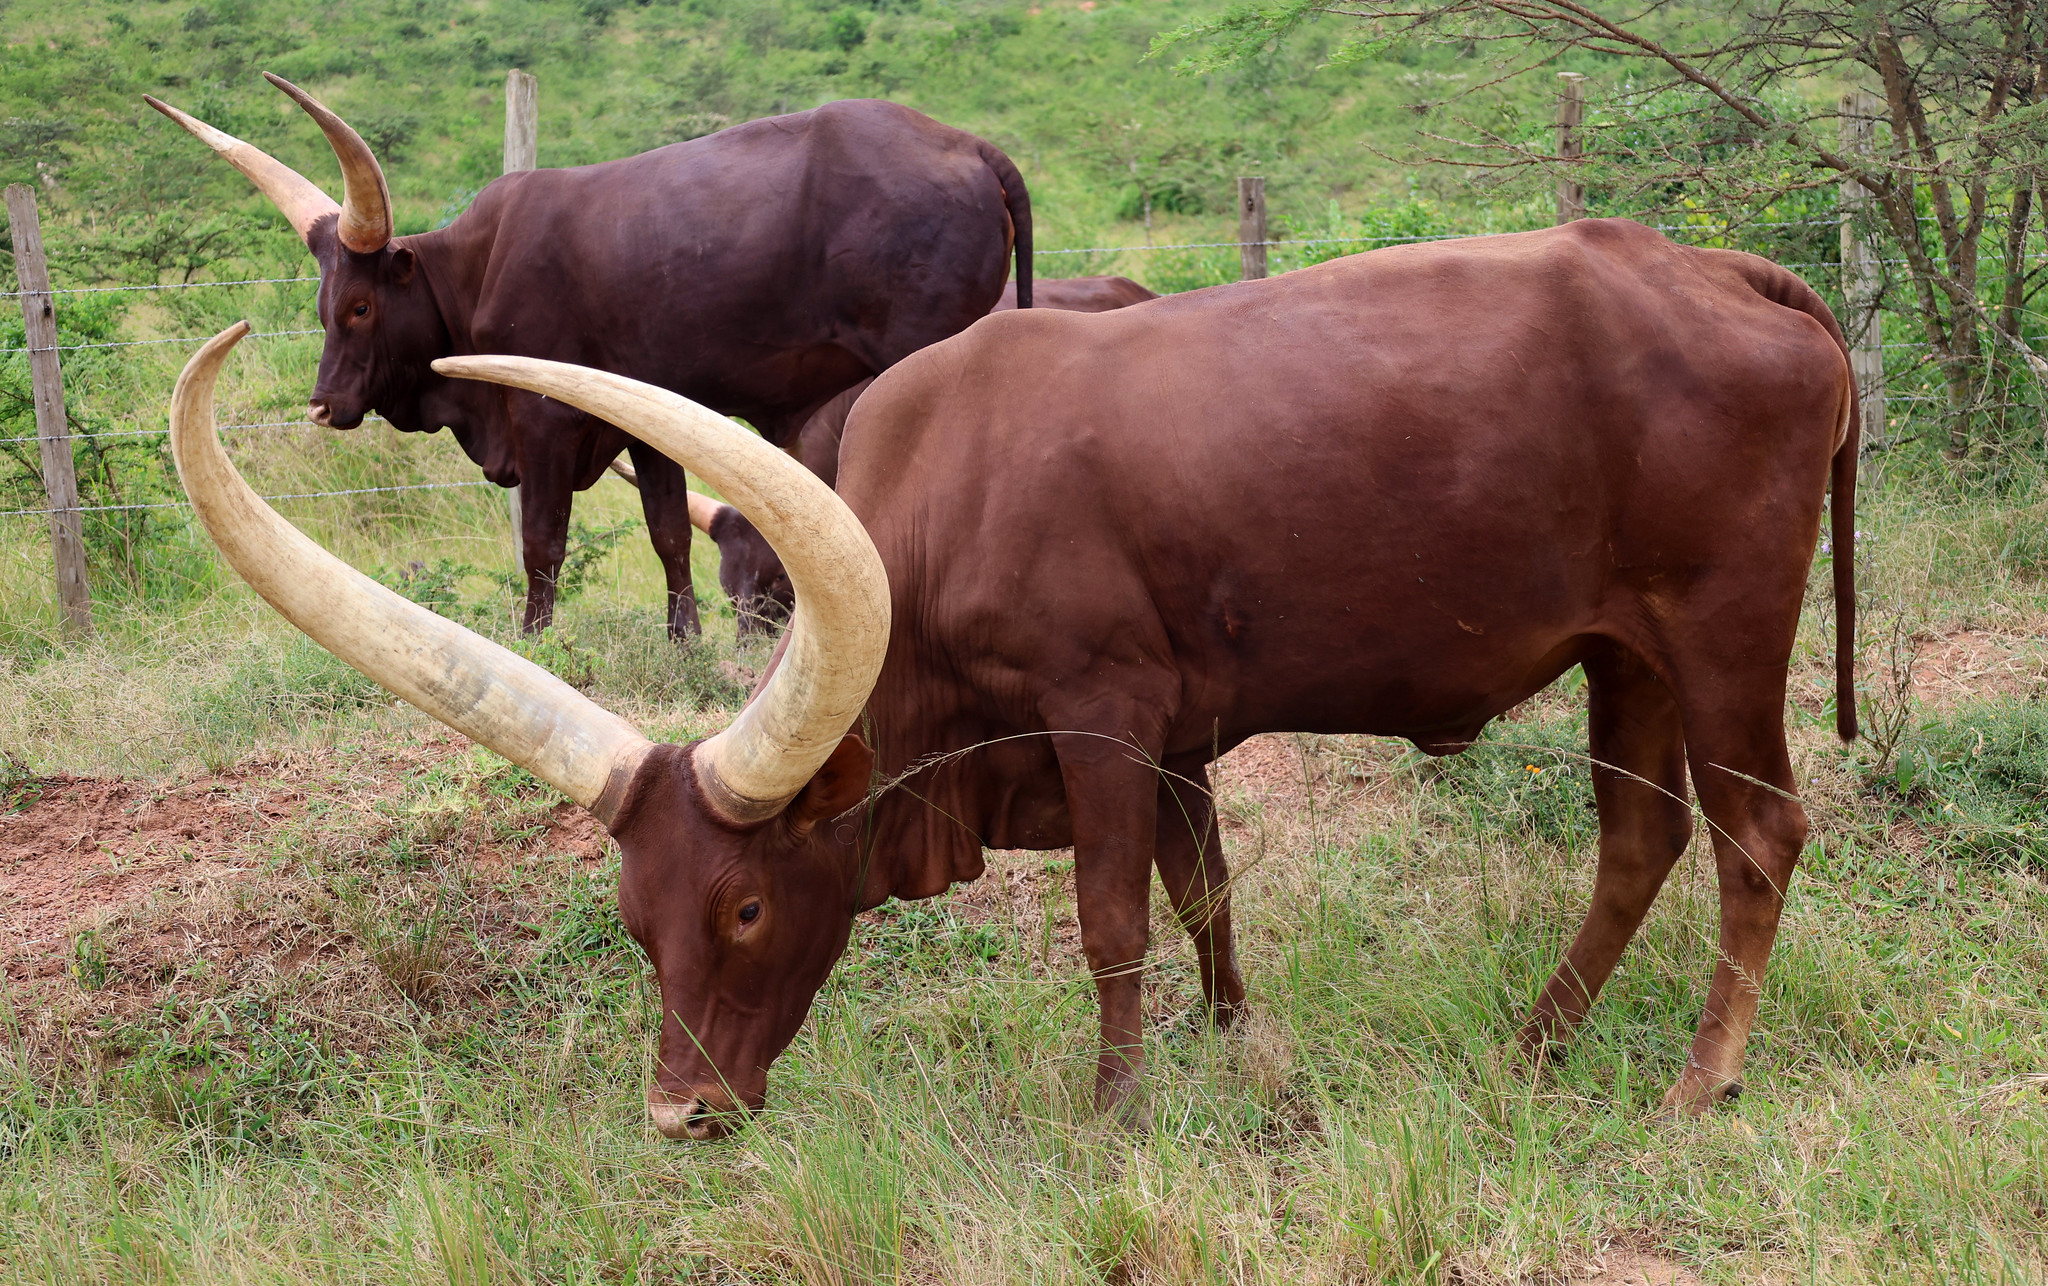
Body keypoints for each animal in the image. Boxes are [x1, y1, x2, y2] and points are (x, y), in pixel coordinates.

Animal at [149, 72, 1032, 643]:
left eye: (360, 307)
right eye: (323, 305)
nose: (323, 405)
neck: (476, 271)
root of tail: (969, 146)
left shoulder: (544, 417)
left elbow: (542, 539)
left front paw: (534, 640)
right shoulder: (650, 417)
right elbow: (669, 532)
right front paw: (685, 643)